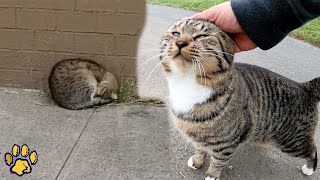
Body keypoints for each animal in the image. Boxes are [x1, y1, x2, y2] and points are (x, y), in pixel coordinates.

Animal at [160, 18, 320, 180]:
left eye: (201, 36)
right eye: (176, 33)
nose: (180, 42)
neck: (186, 83)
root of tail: (304, 86)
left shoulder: (226, 144)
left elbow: (218, 161)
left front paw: (212, 175)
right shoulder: (197, 136)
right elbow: (199, 149)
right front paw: (198, 161)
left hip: (291, 142)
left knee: (312, 150)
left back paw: (309, 169)